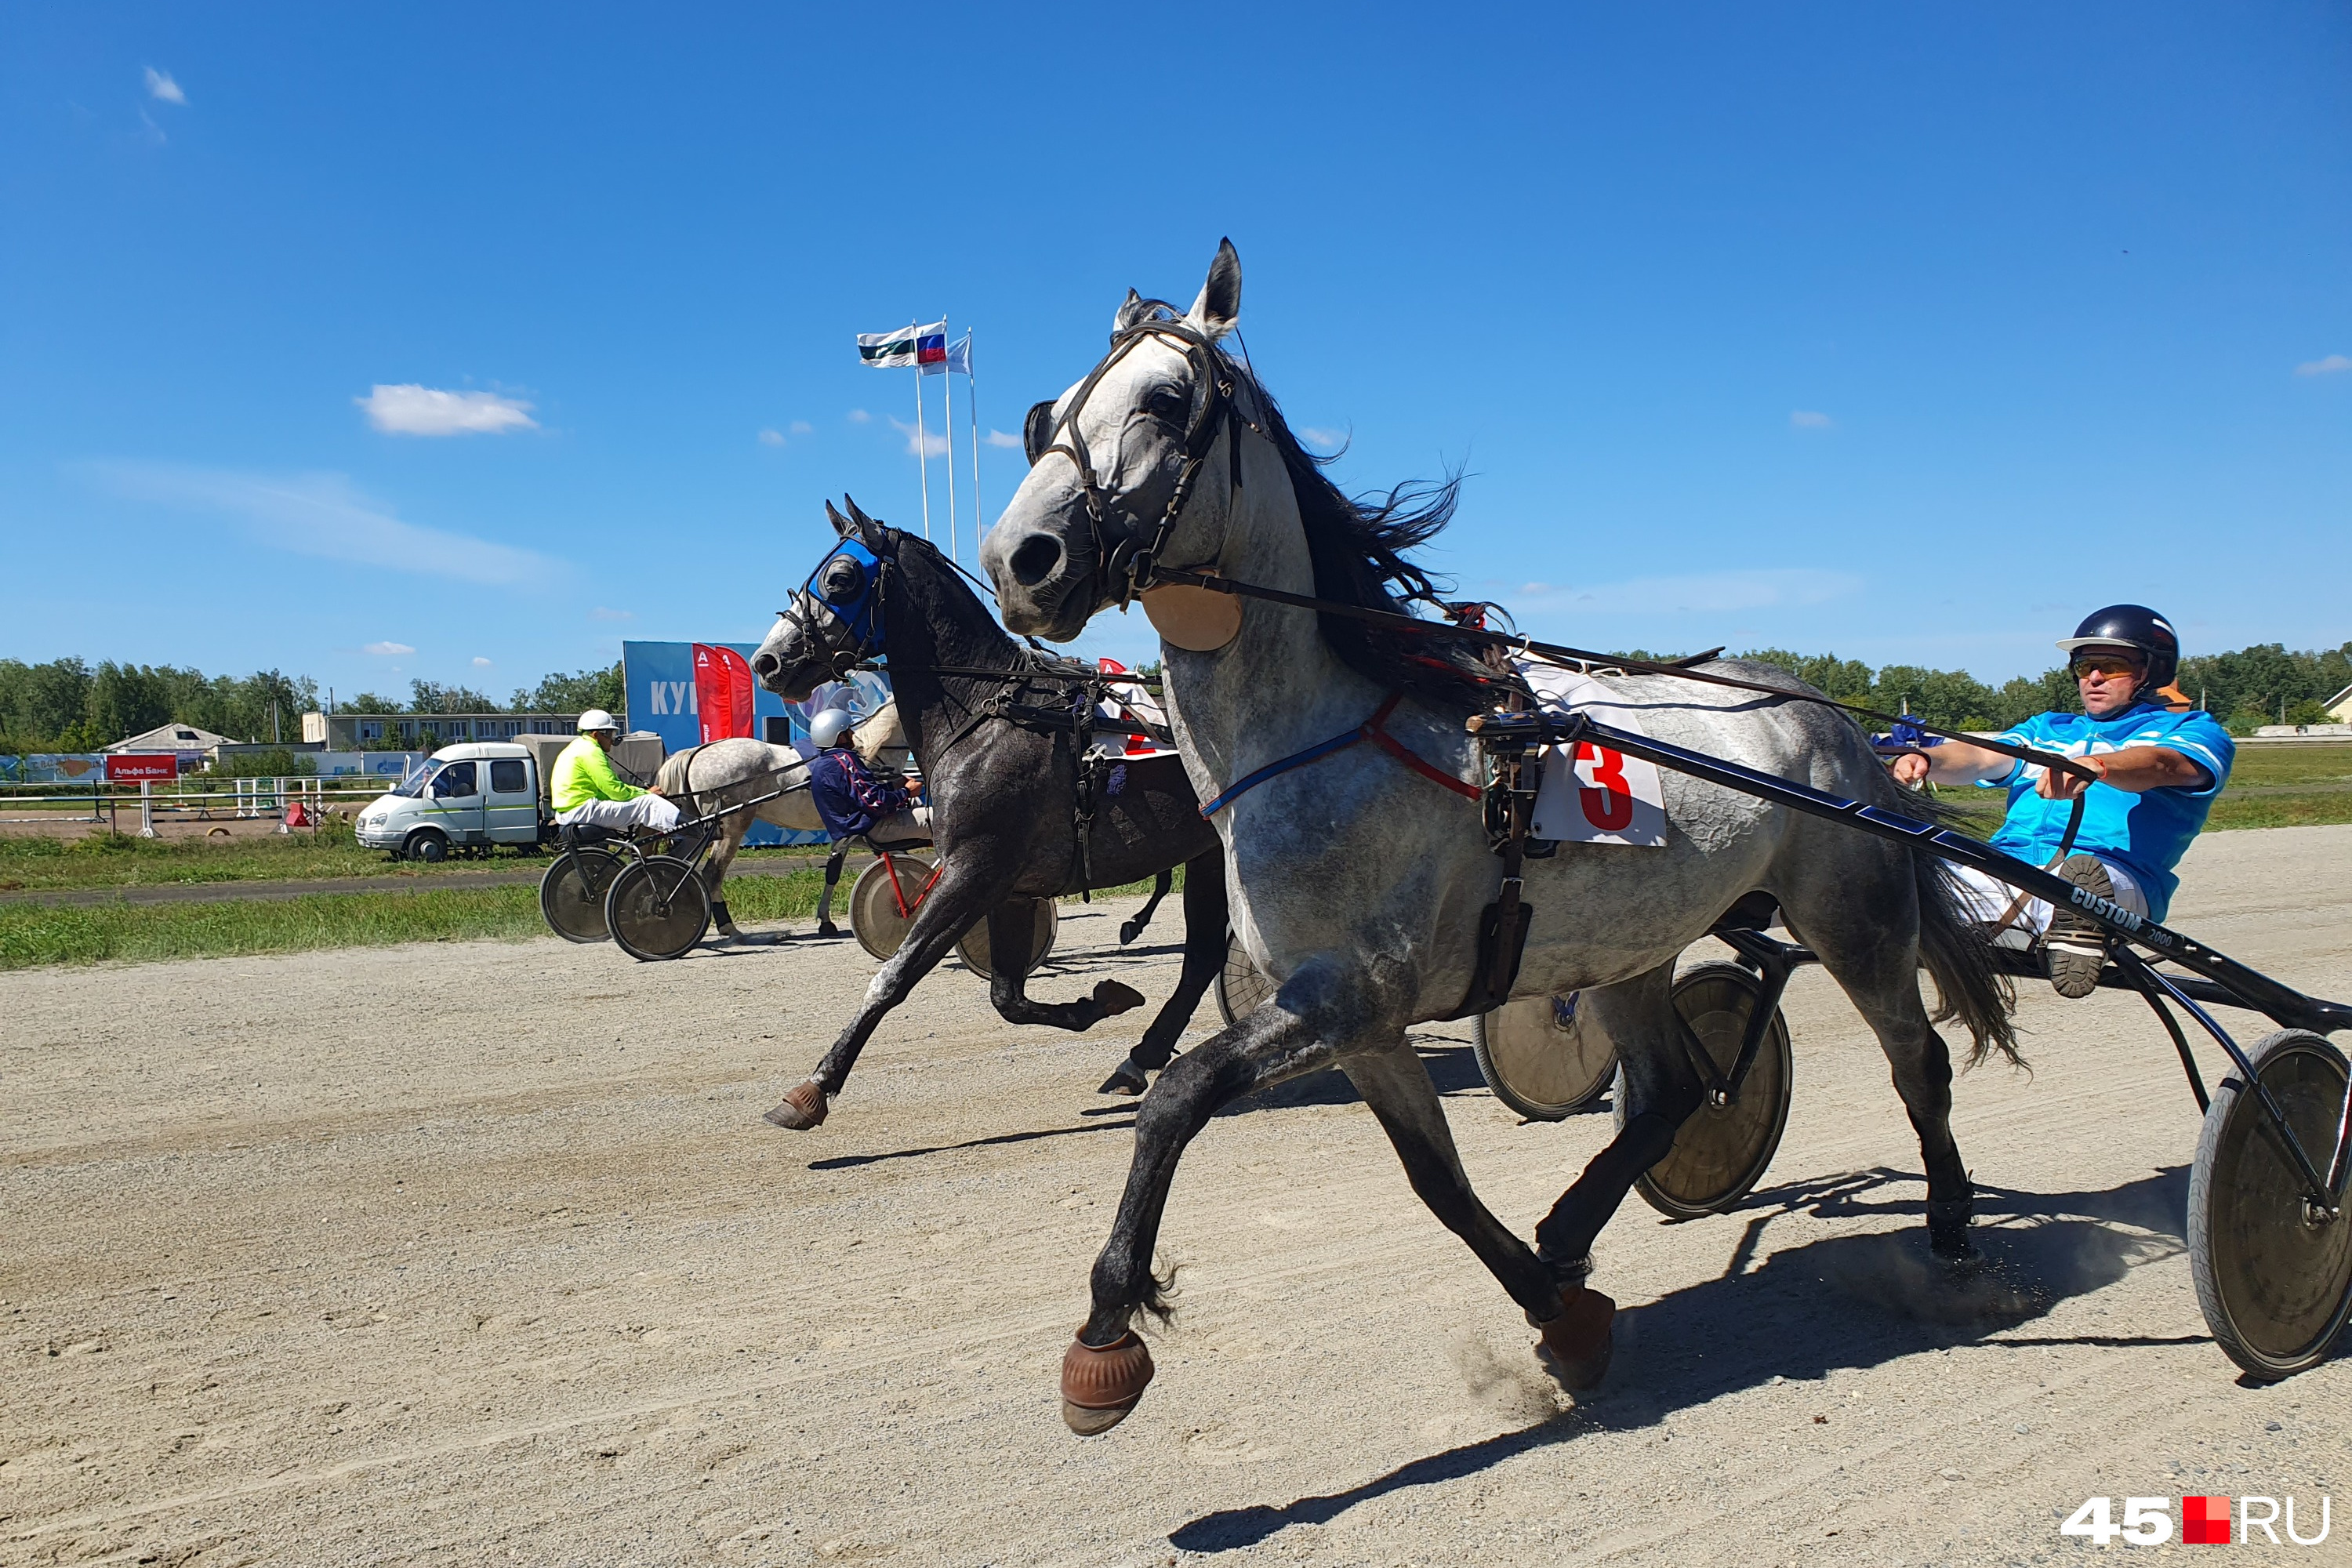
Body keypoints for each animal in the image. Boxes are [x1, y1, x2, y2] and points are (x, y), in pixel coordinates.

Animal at [748, 503, 1232, 1128]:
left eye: (840, 579)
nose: (767, 661)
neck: (990, 716)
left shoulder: (973, 870)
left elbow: (893, 977)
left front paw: (813, 1088)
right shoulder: (1010, 888)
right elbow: (1008, 998)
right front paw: (1096, 1003)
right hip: (1207, 851)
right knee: (1202, 956)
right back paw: (1140, 1057)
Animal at [983, 239, 2013, 1429]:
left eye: (1164, 398)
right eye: (1045, 413)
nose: (1020, 558)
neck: (1321, 730)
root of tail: (1828, 714)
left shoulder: (1350, 995)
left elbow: (1177, 1099)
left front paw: (1105, 1328)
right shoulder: (1364, 1024)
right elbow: (1438, 1182)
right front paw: (1560, 1311)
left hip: (1854, 914)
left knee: (1916, 1060)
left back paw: (1952, 1229)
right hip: (1630, 945)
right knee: (1668, 1089)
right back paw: (1571, 1228)